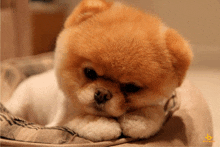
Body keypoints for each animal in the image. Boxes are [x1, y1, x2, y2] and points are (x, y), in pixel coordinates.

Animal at [5, 0, 192, 142]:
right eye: (89, 72)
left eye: (131, 87)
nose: (102, 93)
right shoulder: (57, 122)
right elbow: (78, 119)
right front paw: (101, 125)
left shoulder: (156, 105)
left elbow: (153, 113)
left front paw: (138, 120)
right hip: (20, 104)